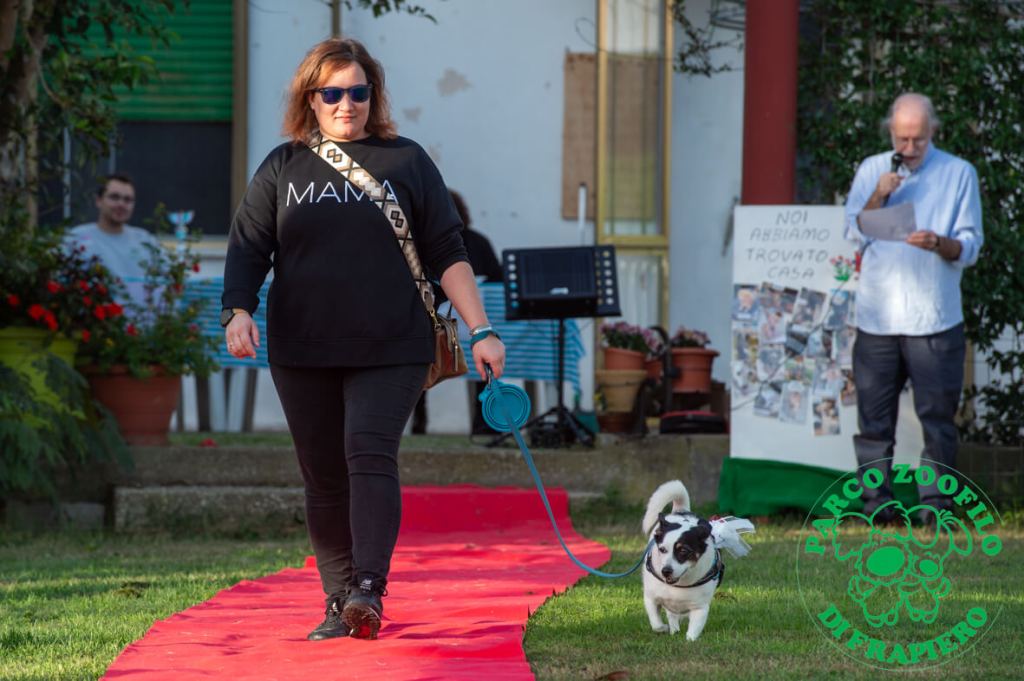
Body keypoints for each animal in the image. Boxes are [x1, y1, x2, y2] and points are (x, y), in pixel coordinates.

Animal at [642, 480, 755, 640]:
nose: (666, 571)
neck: (679, 584)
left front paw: (688, 640)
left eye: (684, 551)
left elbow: (692, 632)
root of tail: (681, 511)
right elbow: (656, 623)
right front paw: (663, 628)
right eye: (662, 549)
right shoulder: (650, 598)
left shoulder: (700, 608)